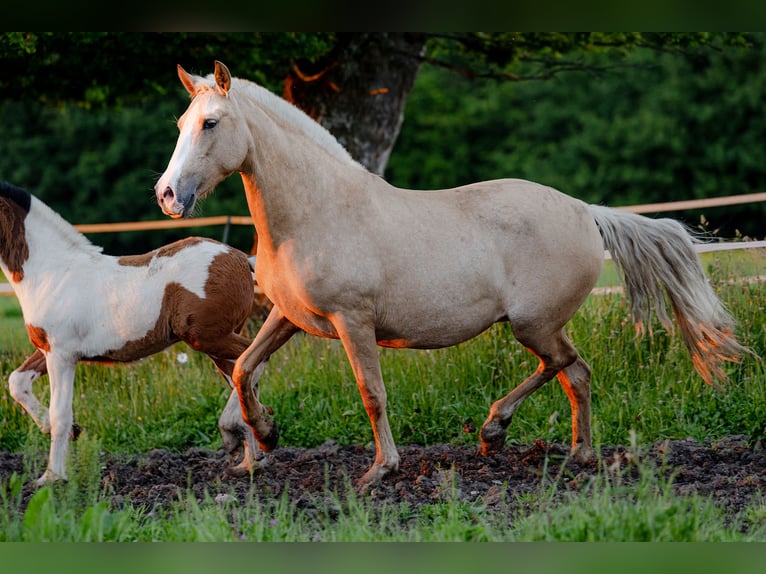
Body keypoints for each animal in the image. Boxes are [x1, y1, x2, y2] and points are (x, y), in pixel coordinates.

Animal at [0, 182, 268, 484]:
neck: (54, 272)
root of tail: (242, 258)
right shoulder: (47, 350)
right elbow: (17, 381)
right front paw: (65, 432)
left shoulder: (61, 355)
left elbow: (60, 414)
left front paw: (52, 477)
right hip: (217, 343)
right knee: (241, 378)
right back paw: (250, 461)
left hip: (209, 337)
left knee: (253, 362)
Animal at [154, 63, 752, 492]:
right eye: (180, 125)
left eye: (211, 123)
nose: (167, 195)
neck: (316, 211)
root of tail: (587, 211)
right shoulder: (288, 316)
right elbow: (244, 370)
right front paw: (263, 435)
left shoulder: (352, 321)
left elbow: (371, 392)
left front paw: (380, 471)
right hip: (537, 326)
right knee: (574, 372)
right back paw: (561, 450)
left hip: (533, 324)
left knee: (567, 367)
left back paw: (500, 433)